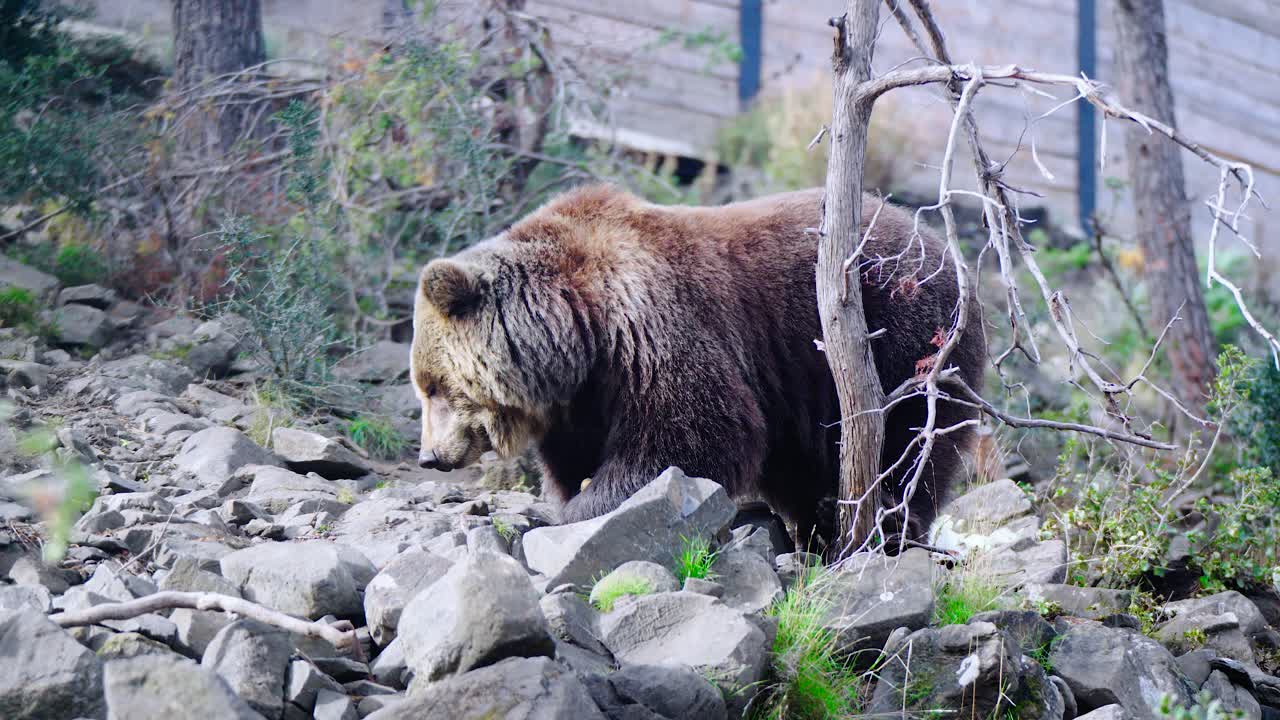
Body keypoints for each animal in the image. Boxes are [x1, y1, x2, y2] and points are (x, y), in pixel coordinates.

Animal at [410, 185, 986, 548]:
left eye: (434, 386)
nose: (429, 456)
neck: (578, 330)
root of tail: (943, 246)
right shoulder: (583, 399)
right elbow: (578, 461)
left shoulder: (654, 330)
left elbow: (689, 436)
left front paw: (579, 513)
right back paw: (817, 524)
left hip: (903, 335)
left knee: (909, 439)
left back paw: (888, 525)